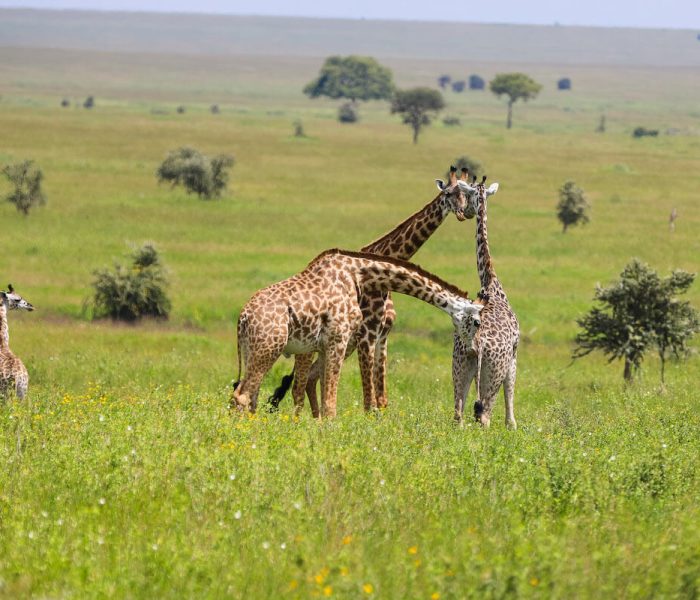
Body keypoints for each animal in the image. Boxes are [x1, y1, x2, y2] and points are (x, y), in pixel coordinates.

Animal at [232, 248, 484, 418]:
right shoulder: (340, 339)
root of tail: (242, 318)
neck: (359, 273)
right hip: (269, 348)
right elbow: (332, 403)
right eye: (478, 322)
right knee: (242, 396)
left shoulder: (325, 347)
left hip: (254, 350)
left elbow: (323, 395)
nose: (473, 350)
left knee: (250, 396)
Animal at [270, 166, 478, 414]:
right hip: (309, 346)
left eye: (466, 194)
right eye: (447, 193)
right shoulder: (366, 335)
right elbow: (369, 400)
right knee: (298, 386)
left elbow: (381, 398)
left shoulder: (382, 336)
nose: (463, 214)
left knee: (312, 379)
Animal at [454, 176, 520, 428]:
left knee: (458, 415)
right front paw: (512, 426)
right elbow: (510, 396)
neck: (491, 282)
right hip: (493, 371)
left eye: (469, 194)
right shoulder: (514, 354)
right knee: (484, 416)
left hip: (461, 364)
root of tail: (478, 343)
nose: (465, 212)